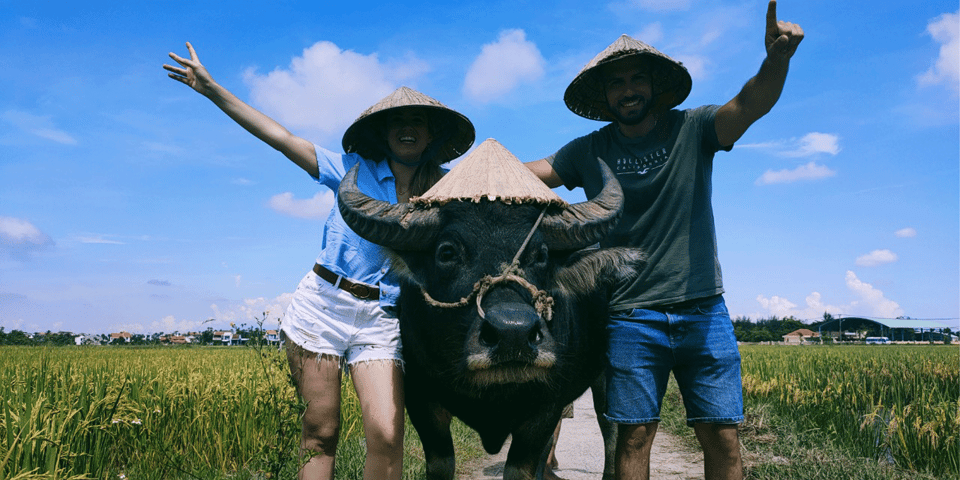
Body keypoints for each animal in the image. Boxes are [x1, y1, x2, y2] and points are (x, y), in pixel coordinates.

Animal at [338, 143, 636, 480]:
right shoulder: (421, 399)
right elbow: (441, 464)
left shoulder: (546, 405)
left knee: (610, 428)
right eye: (446, 252)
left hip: (607, 376)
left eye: (542, 254)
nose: (513, 333)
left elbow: (522, 468)